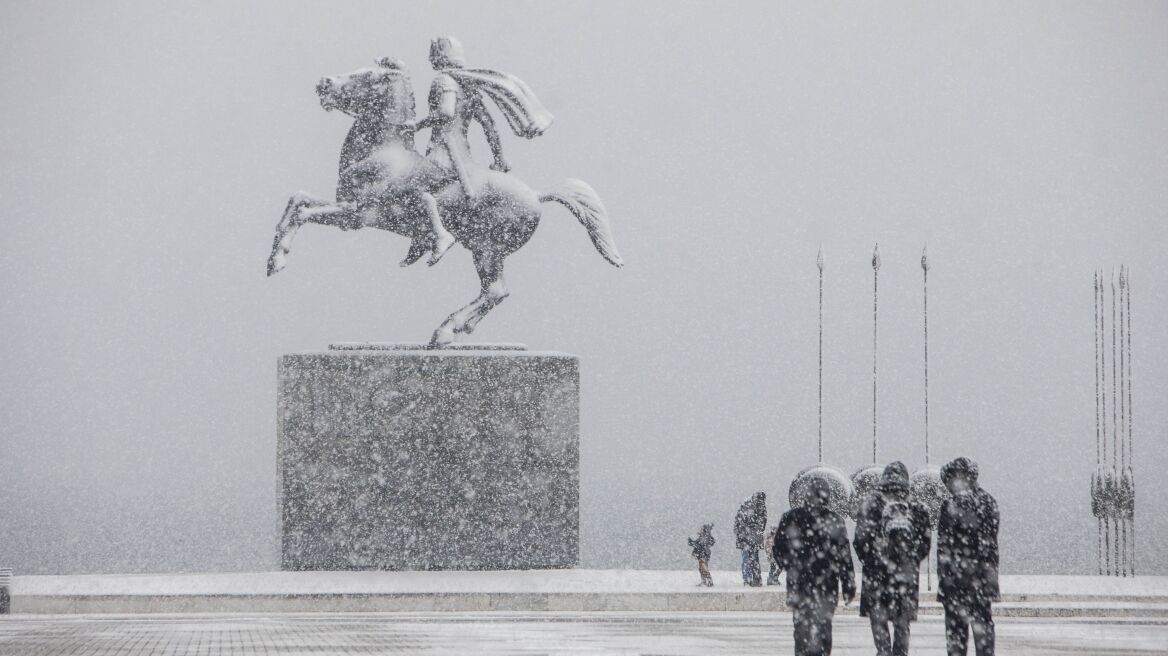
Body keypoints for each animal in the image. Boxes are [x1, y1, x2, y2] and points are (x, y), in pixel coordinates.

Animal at [265, 58, 621, 345]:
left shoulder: (356, 216)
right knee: (497, 291)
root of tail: (536, 196)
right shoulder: (345, 208)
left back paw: (445, 329)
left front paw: (280, 259)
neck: (383, 151)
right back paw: (456, 329)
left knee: (494, 290)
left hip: (486, 248)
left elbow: (303, 213)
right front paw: (272, 259)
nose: (322, 83)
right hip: (487, 251)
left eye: (366, 75)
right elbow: (297, 200)